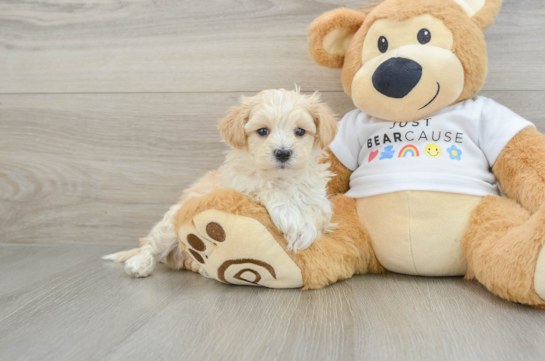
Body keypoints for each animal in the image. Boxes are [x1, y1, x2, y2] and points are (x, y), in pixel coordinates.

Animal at [104, 88, 338, 278]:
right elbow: (266, 189)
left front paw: (303, 230)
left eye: (300, 131)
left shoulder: (318, 199)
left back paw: (199, 266)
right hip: (172, 221)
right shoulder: (241, 186)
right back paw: (140, 264)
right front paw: (291, 218)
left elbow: (316, 214)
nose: (282, 153)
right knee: (152, 246)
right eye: (263, 131)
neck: (282, 178)